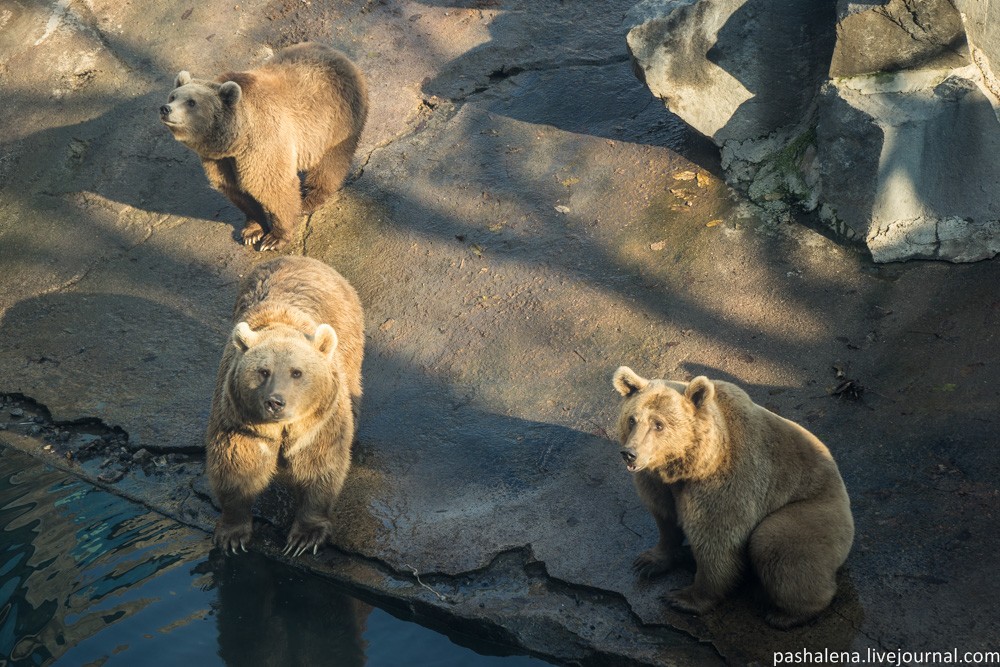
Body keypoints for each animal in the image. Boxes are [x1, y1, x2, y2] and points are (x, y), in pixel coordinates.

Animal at [159, 42, 368, 250]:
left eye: (191, 102)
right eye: (173, 96)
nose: (165, 108)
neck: (236, 140)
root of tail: (341, 56)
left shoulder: (263, 142)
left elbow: (272, 185)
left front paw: (274, 238)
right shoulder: (220, 161)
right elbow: (237, 191)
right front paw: (252, 232)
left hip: (336, 119)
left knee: (331, 162)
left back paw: (310, 199)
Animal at [205, 258, 366, 560]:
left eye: (296, 372)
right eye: (263, 371)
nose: (275, 402)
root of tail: (302, 259)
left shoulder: (318, 423)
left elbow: (319, 466)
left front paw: (305, 536)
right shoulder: (240, 422)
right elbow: (237, 468)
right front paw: (233, 534)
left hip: (349, 339)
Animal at [608, 368, 852, 628]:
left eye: (659, 424)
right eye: (632, 419)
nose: (630, 454)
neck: (688, 466)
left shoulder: (725, 482)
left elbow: (716, 541)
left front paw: (682, 598)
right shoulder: (658, 485)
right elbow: (665, 519)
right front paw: (648, 561)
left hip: (815, 511)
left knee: (775, 543)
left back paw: (786, 614)